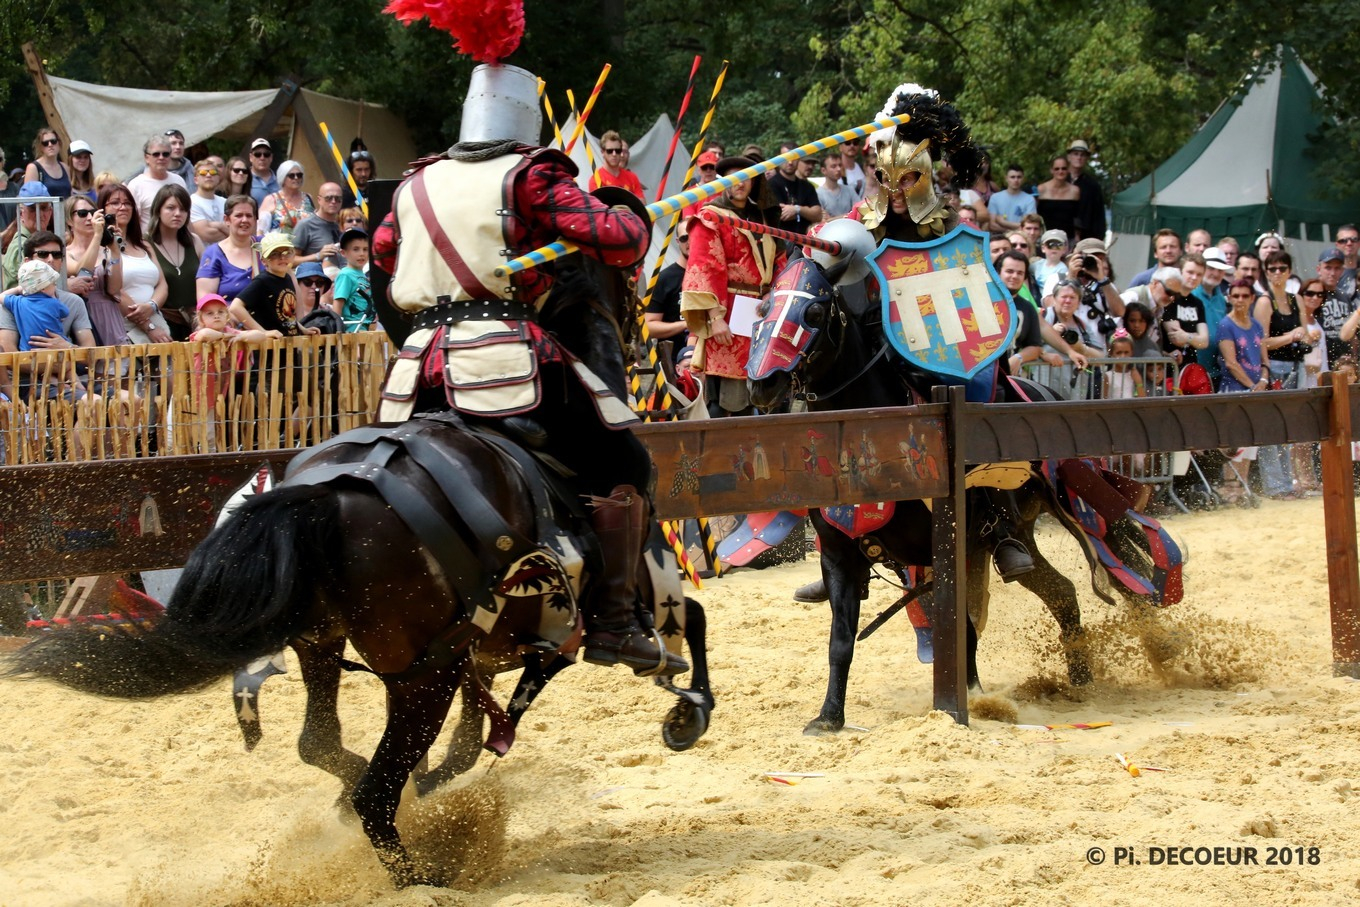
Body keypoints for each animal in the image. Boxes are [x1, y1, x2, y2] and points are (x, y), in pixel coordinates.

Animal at [7, 258, 714, 888]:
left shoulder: (483, 654)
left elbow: (466, 742)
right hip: (420, 680)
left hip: (327, 647)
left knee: (322, 745)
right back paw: (424, 872)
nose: (645, 337)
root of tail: (324, 493)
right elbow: (697, 620)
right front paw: (690, 711)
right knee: (377, 792)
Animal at [747, 255, 1134, 735]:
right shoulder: (839, 555)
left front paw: (967, 702)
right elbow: (841, 640)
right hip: (1014, 536)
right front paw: (829, 717)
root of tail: (1046, 392)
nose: (763, 385)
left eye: (814, 312)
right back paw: (1079, 679)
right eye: (763, 309)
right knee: (1062, 591)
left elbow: (960, 628)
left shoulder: (950, 550)